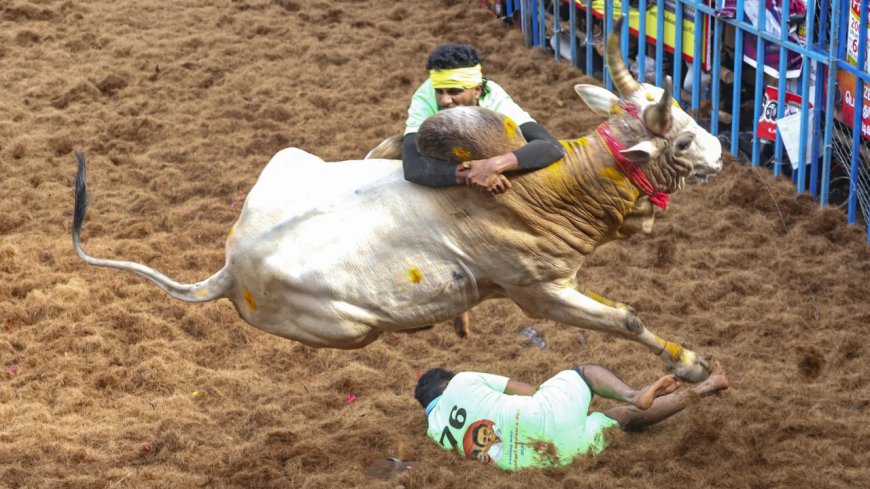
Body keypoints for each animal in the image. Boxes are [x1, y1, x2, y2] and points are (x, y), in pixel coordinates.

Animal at [72, 19, 722, 382]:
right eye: (681, 139)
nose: (718, 151)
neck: (551, 188)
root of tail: (230, 269)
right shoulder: (540, 292)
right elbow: (626, 317)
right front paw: (691, 366)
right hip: (350, 328)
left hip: (289, 155)